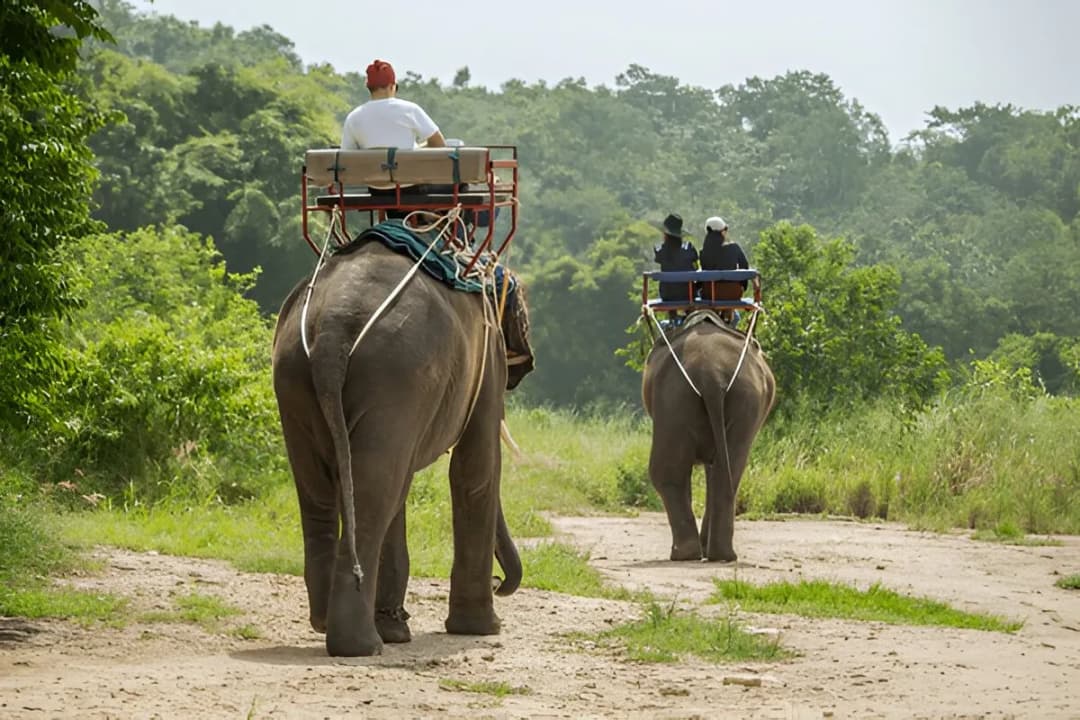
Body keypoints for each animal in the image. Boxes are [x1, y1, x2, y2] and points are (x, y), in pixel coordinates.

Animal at [271, 239, 534, 657]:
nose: (499, 582)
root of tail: (333, 328)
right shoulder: (488, 358)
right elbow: (475, 469)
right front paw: (482, 629)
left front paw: (397, 629)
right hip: (395, 374)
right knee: (377, 489)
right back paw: (361, 645)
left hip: (294, 374)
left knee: (331, 486)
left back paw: (330, 623)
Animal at [642, 311, 775, 562]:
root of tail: (711, 373)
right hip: (743, 400)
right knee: (729, 469)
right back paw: (720, 554)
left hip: (674, 399)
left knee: (666, 471)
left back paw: (686, 554)